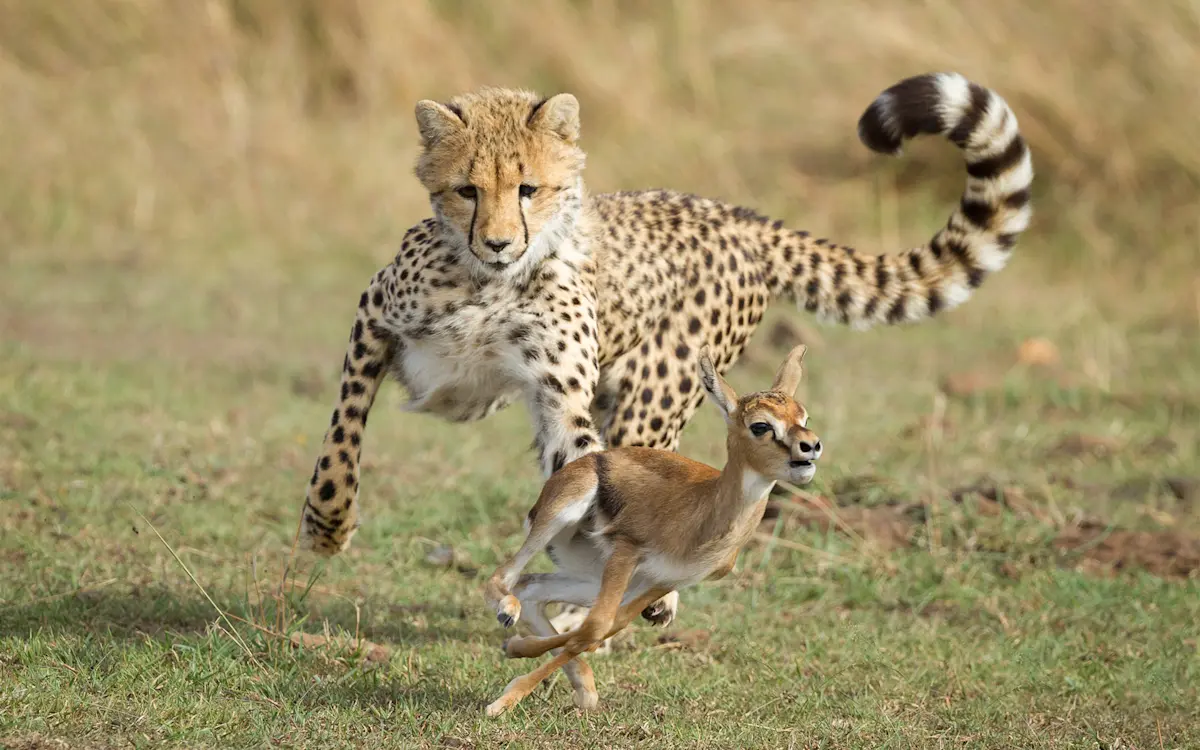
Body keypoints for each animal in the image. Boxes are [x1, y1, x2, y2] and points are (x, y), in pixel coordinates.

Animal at [298, 72, 1033, 634]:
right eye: (467, 190)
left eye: (529, 188)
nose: (501, 242)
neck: (490, 282)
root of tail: (738, 216)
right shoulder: (375, 318)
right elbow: (342, 435)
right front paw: (327, 525)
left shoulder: (562, 398)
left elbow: (584, 468)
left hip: (655, 396)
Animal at [480, 343, 822, 717]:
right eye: (761, 425)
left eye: (803, 418)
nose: (811, 446)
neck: (703, 517)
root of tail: (586, 462)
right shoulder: (627, 549)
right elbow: (596, 626)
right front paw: (503, 700)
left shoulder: (664, 581)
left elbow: (600, 629)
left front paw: (517, 649)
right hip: (562, 521)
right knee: (503, 576)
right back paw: (508, 613)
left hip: (592, 579)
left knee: (532, 588)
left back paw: (580, 684)